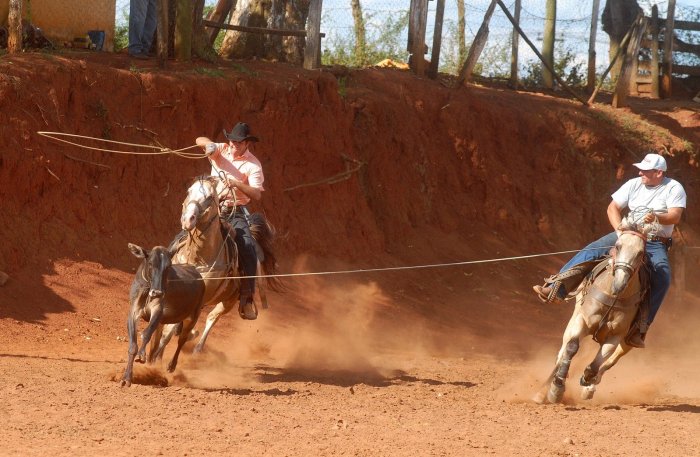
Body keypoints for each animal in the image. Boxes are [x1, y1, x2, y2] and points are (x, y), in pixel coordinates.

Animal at [121, 242, 205, 384]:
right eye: (150, 263)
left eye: (168, 266)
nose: (158, 293)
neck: (148, 289)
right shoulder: (133, 312)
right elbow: (133, 345)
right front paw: (126, 378)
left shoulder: (158, 311)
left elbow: (146, 334)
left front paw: (142, 355)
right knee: (160, 342)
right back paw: (153, 361)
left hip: (192, 317)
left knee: (181, 341)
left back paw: (170, 365)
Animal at [540, 217, 652, 402]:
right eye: (618, 246)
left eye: (640, 252)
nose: (620, 283)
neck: (613, 295)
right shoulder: (582, 320)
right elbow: (571, 347)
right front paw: (556, 388)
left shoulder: (617, 335)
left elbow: (597, 364)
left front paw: (587, 379)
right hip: (573, 320)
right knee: (562, 352)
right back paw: (543, 390)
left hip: (629, 341)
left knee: (610, 362)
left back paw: (590, 387)